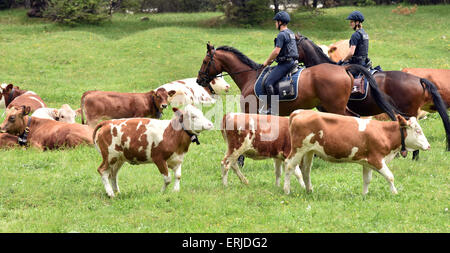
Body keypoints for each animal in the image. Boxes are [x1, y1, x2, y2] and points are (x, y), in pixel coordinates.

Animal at [195, 42, 396, 119]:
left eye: (205, 62)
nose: (198, 80)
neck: (249, 77)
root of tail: (342, 68)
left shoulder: (250, 110)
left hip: (335, 107)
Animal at [286, 109, 430, 195]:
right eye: (418, 131)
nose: (428, 146)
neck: (384, 133)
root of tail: (300, 112)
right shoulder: (377, 159)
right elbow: (390, 176)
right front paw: (394, 193)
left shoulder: (367, 162)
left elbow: (367, 179)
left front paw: (365, 195)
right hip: (298, 149)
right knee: (289, 166)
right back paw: (287, 190)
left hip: (309, 151)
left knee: (306, 170)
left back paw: (309, 190)